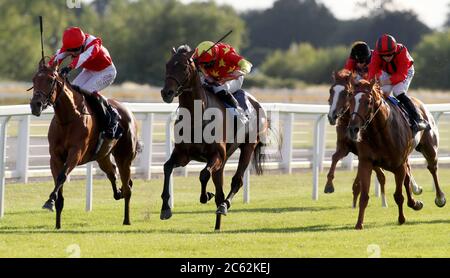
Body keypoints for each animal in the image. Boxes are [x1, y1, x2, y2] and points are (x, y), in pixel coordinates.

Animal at [29, 59, 140, 229]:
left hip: (125, 157)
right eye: (34, 79)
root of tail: (128, 112)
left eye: (50, 80)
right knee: (113, 173)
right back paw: (118, 193)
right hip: (103, 156)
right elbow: (58, 182)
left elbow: (62, 176)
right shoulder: (54, 156)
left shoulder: (76, 153)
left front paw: (49, 201)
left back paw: (126, 219)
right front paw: (57, 222)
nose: (35, 105)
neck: (67, 119)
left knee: (127, 186)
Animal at [159, 45, 270, 230]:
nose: (166, 93)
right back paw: (217, 223)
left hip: (247, 148)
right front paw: (165, 208)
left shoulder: (216, 154)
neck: (197, 115)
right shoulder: (183, 155)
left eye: (183, 67)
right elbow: (167, 167)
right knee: (220, 189)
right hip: (224, 160)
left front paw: (205, 196)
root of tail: (255, 102)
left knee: (236, 181)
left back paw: (224, 206)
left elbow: (204, 174)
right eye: (167, 65)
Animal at [346, 79, 444, 229]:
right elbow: (364, 196)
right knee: (408, 177)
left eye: (368, 101)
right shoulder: (366, 163)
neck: (380, 133)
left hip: (429, 148)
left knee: (432, 168)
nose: (353, 129)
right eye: (350, 99)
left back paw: (439, 198)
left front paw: (401, 219)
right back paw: (415, 203)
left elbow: (398, 195)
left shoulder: (399, 166)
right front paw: (359, 223)